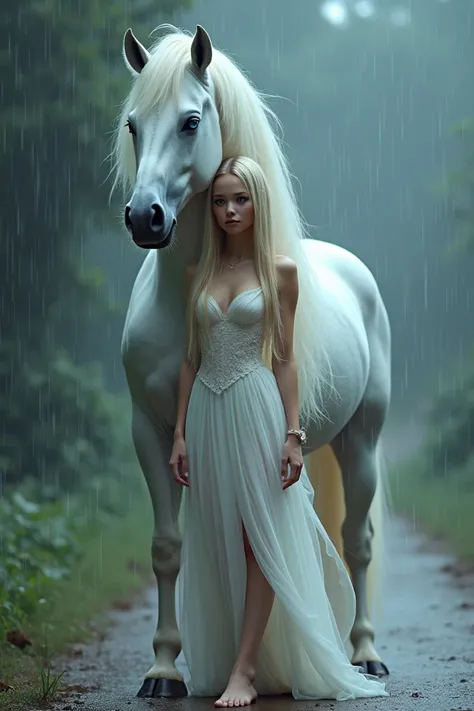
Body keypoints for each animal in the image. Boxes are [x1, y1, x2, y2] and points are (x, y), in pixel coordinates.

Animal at [112, 23, 392, 700]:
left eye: (191, 120)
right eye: (132, 124)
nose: (144, 218)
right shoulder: (150, 431)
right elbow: (167, 546)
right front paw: (163, 670)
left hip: (361, 440)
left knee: (357, 542)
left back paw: (363, 653)